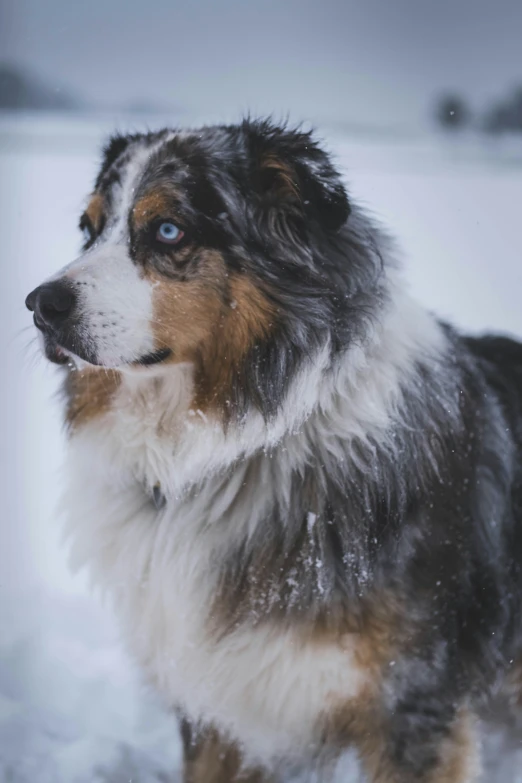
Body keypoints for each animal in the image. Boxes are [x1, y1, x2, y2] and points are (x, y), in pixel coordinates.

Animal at [26, 118, 520, 783]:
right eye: (88, 227)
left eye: (167, 230)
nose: (39, 305)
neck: (239, 449)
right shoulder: (218, 709)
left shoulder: (411, 701)